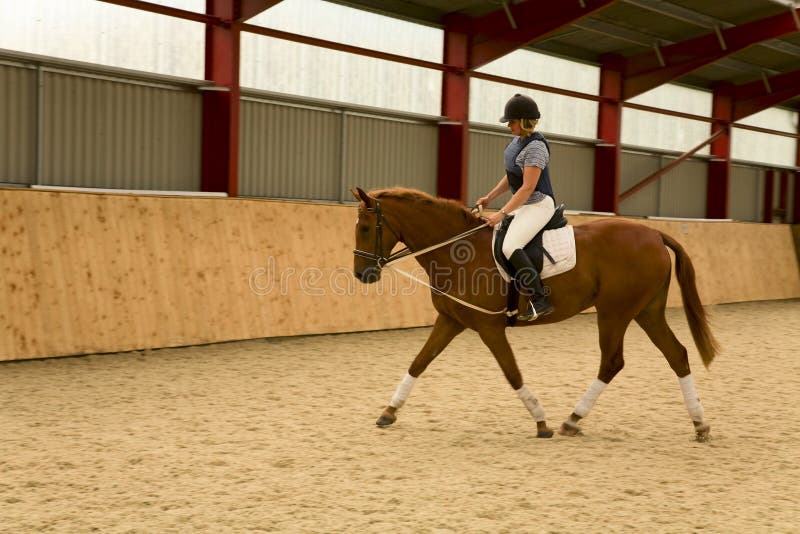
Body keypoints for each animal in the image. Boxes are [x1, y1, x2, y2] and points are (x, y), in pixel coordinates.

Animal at [352, 186, 720, 442]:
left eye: (366, 228)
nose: (362, 275)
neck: (457, 252)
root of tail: (654, 233)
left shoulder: (489, 327)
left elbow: (512, 373)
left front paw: (541, 422)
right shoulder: (451, 320)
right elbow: (419, 362)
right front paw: (388, 412)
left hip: (614, 312)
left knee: (612, 362)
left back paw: (572, 419)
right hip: (646, 311)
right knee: (677, 354)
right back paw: (700, 424)